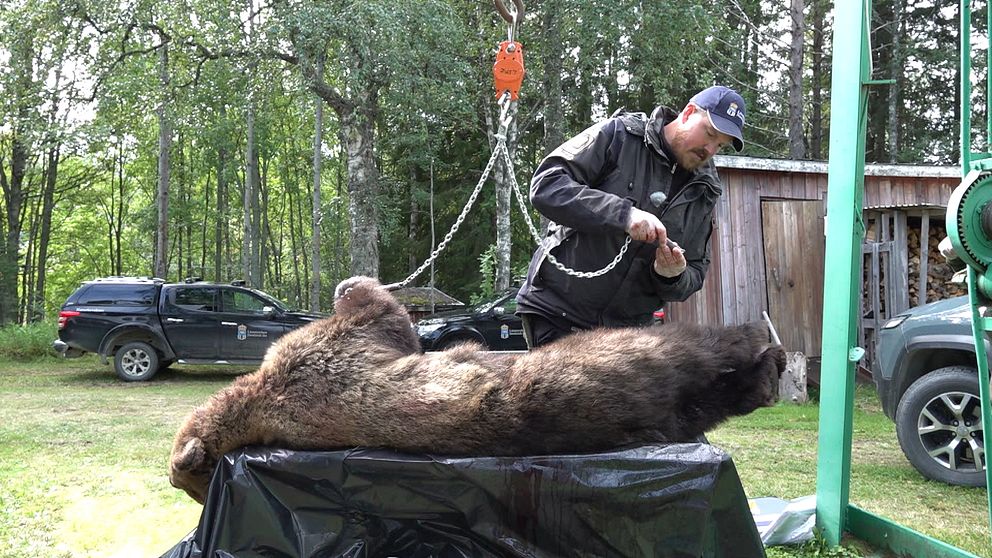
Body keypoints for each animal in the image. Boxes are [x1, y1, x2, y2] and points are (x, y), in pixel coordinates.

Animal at [172, 278, 792, 506]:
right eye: (194, 485)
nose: (194, 486)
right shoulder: (329, 360)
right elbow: (382, 316)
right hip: (621, 359)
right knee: (701, 359)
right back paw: (761, 353)